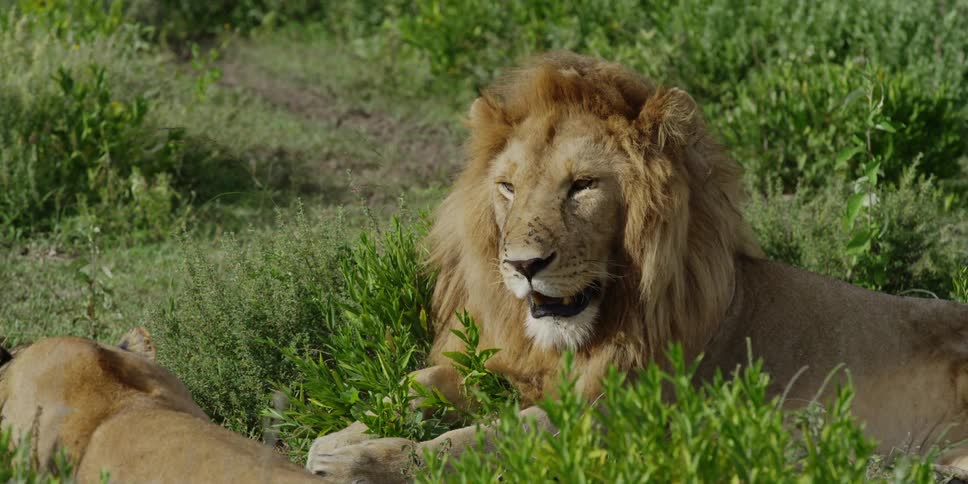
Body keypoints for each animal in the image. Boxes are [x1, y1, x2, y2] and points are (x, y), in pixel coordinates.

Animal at [306, 51, 968, 481]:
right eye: (508, 188)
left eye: (582, 186)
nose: (522, 266)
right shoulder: (514, 367)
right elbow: (418, 382)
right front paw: (339, 436)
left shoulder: (614, 416)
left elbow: (475, 441)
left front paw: (363, 461)